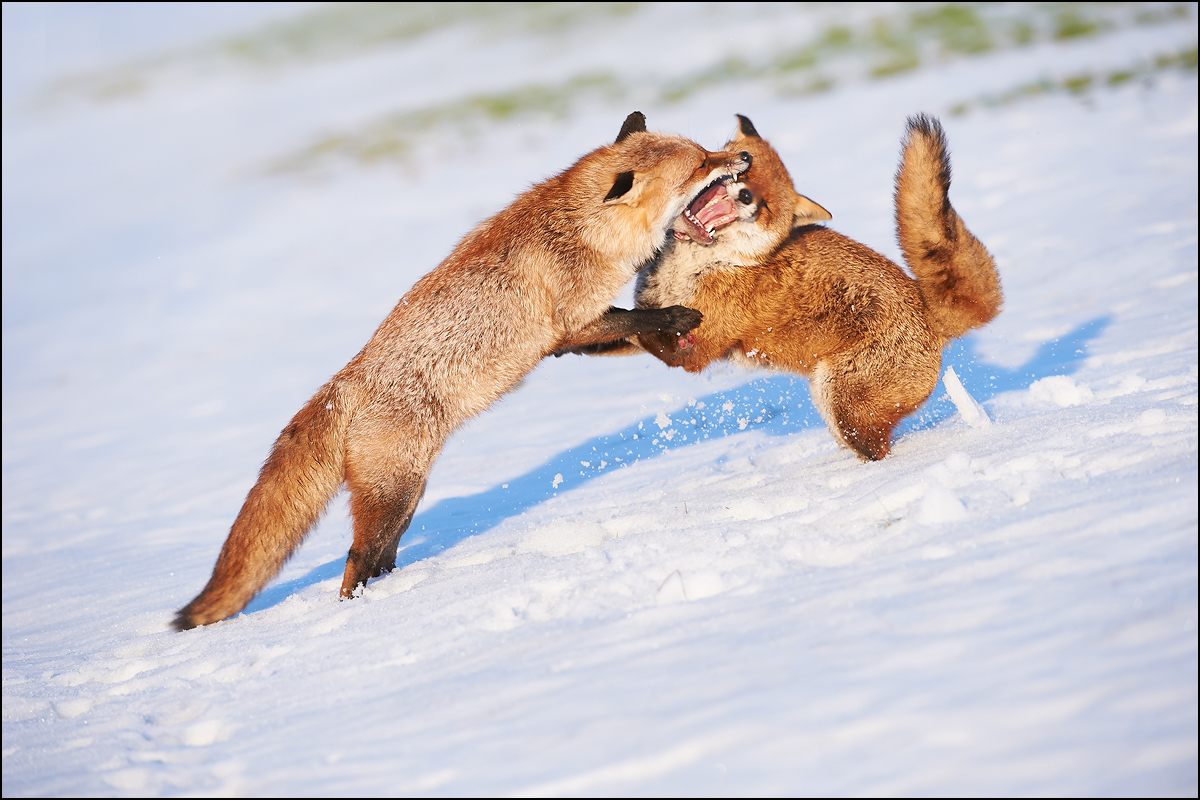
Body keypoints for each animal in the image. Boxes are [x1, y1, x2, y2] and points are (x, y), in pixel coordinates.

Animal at [174, 112, 751, 629]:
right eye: (702, 164)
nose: (742, 158)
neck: (580, 232)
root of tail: (343, 385)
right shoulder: (569, 324)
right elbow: (639, 317)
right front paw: (679, 317)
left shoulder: (568, 339)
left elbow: (626, 333)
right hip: (394, 493)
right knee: (356, 561)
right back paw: (361, 613)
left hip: (405, 496)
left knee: (380, 556)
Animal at [561, 114, 1001, 462]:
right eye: (741, 172)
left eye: (767, 206)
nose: (745, 197)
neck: (701, 264)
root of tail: (930, 312)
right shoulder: (655, 308)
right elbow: (621, 329)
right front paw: (574, 340)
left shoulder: (695, 351)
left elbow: (642, 329)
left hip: (844, 406)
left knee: (878, 452)